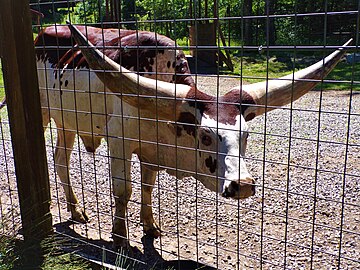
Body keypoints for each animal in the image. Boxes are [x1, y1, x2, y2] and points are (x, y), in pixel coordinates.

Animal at [65, 23, 352, 249]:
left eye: (246, 136)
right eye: (204, 136)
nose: (242, 185)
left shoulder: (151, 150)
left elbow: (147, 187)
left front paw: (150, 226)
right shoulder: (119, 142)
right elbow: (123, 190)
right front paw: (120, 238)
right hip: (57, 121)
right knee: (60, 162)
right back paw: (77, 211)